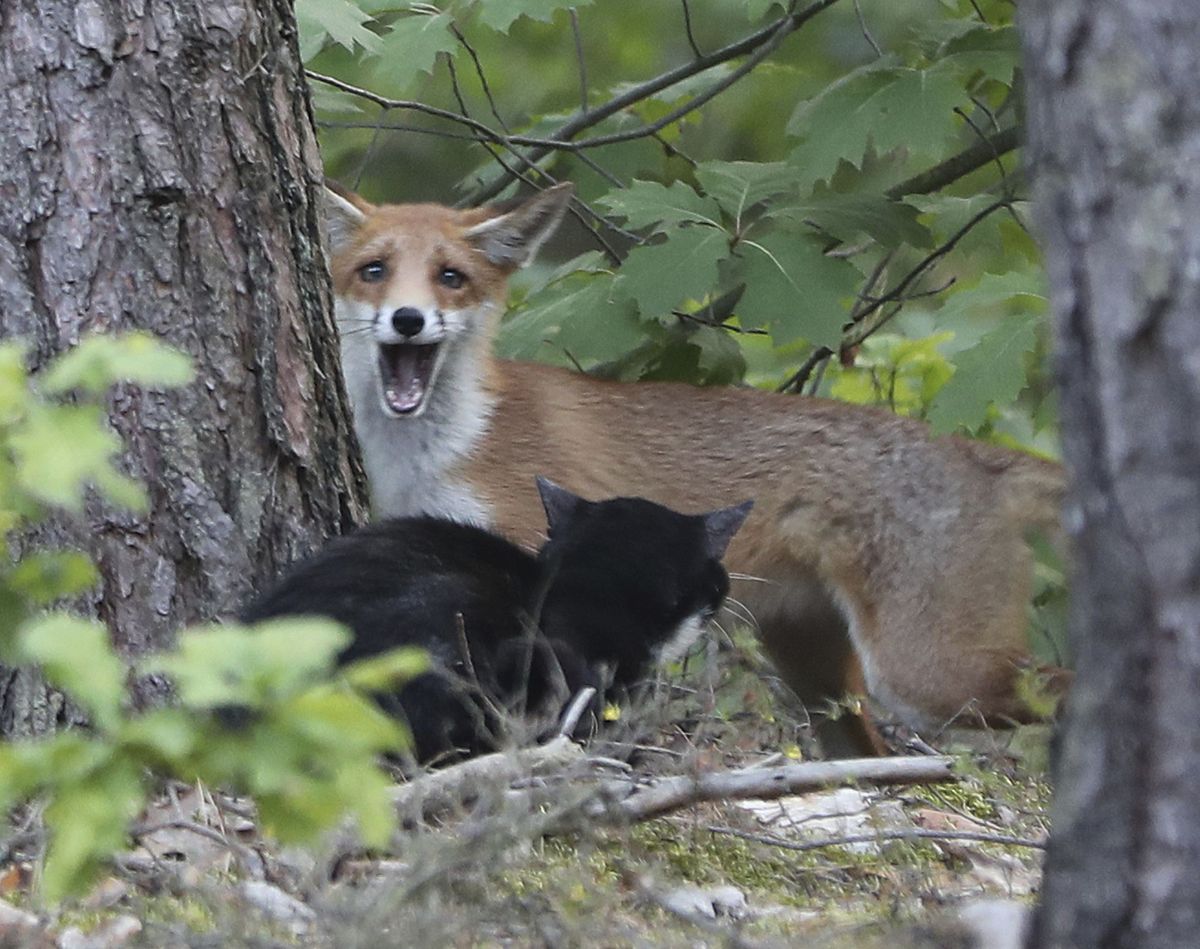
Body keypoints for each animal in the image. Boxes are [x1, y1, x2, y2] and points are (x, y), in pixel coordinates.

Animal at [321, 182, 1070, 753]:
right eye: (374, 270)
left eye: (450, 277)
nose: (408, 319)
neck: (445, 447)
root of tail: (961, 450)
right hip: (822, 677)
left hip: (928, 674)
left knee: (1060, 685)